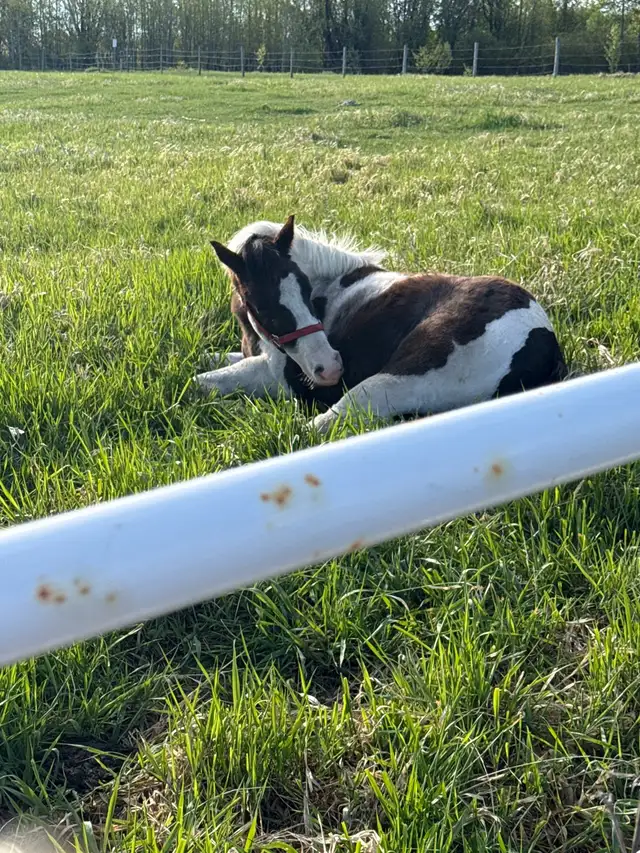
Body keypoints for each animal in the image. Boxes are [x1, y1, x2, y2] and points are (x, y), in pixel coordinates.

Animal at [195, 216, 567, 434]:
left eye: (303, 288)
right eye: (260, 304)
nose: (329, 369)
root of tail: (544, 342)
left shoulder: (280, 376)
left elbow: (205, 381)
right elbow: (212, 360)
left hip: (401, 376)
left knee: (316, 427)